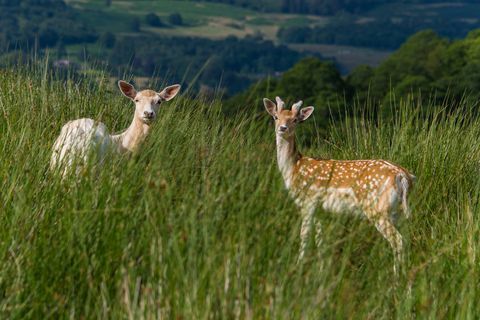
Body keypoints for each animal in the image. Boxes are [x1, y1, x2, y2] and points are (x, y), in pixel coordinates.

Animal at [264, 96, 414, 274]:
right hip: (397, 211)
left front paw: (298, 267)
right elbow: (320, 240)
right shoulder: (321, 210)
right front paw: (321, 270)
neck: (293, 168)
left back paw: (396, 277)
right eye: (275, 117)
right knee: (407, 238)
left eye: (295, 120)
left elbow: (304, 236)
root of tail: (403, 176)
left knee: (398, 240)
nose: (282, 128)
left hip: (377, 207)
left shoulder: (308, 201)